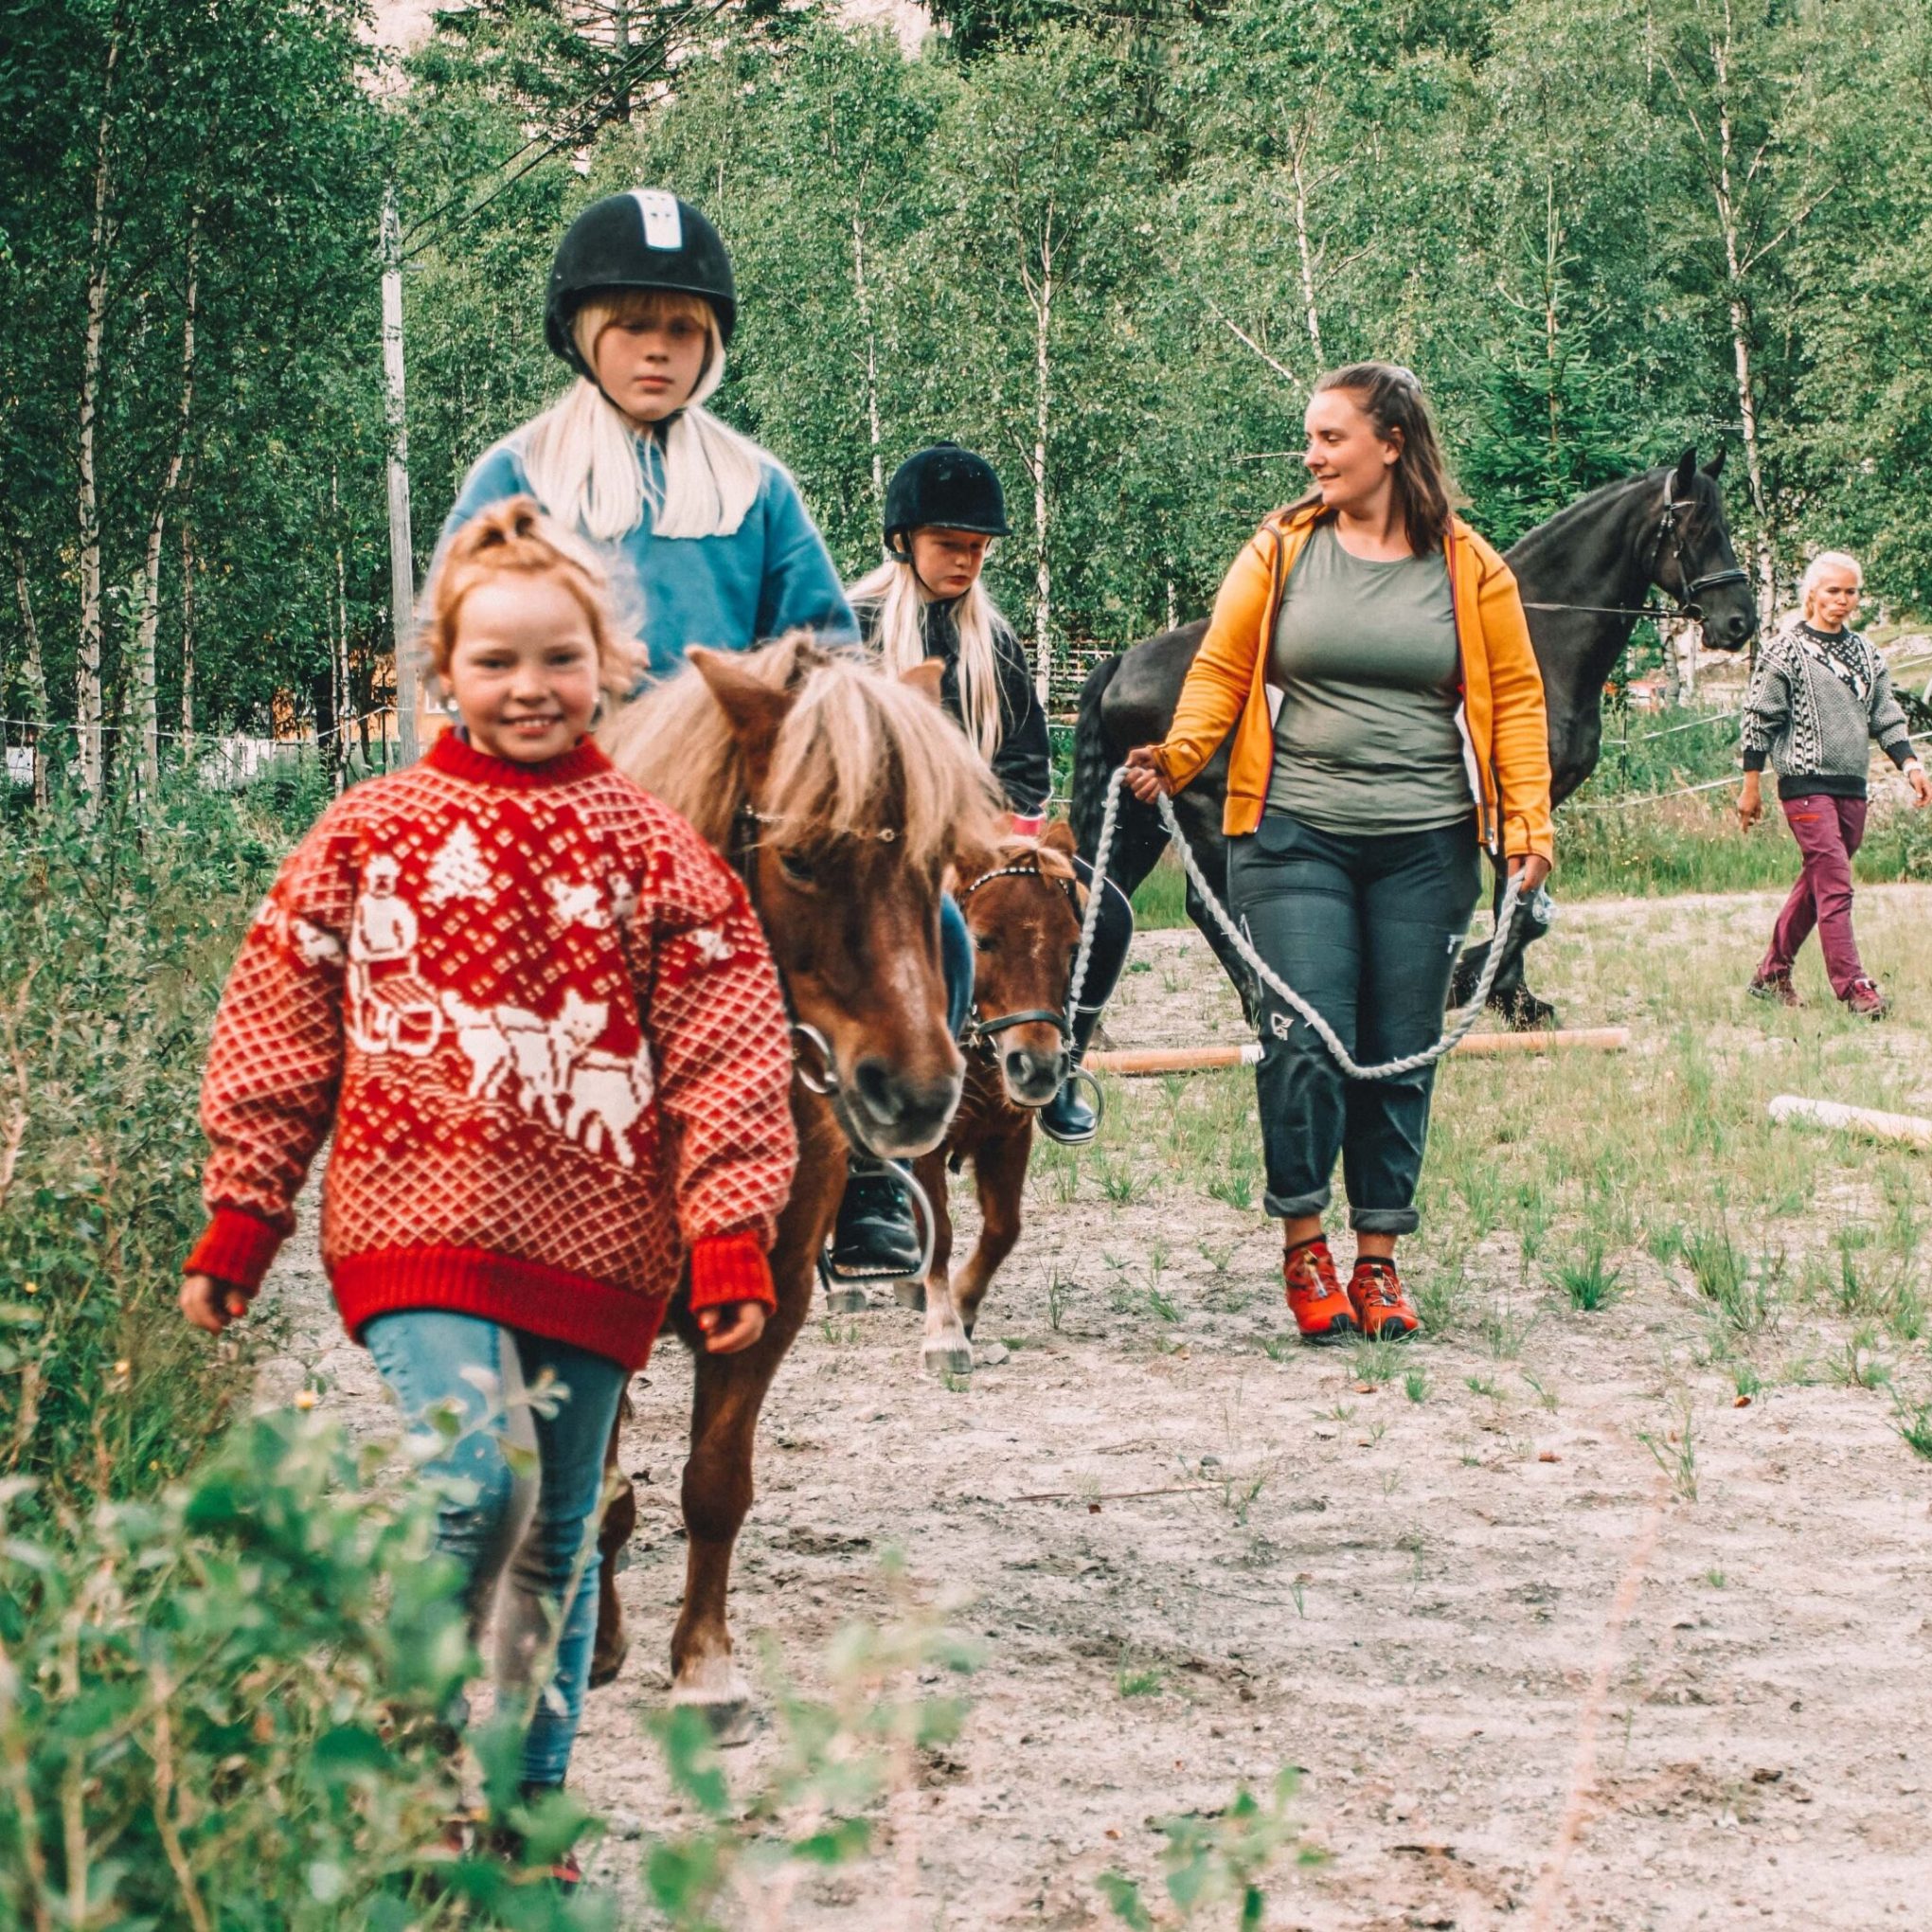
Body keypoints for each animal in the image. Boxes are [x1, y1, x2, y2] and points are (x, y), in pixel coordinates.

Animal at [595, 630, 1004, 1723]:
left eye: (936, 862)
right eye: (803, 859)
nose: (918, 1091)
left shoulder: (768, 1296)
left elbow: (714, 1481)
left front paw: (703, 1670)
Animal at [903, 823, 1089, 1383]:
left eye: (1073, 947)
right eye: (982, 940)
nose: (1039, 1067)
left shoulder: (1009, 1135)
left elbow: (1004, 1228)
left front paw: (964, 1303)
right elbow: (939, 1231)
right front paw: (944, 1332)